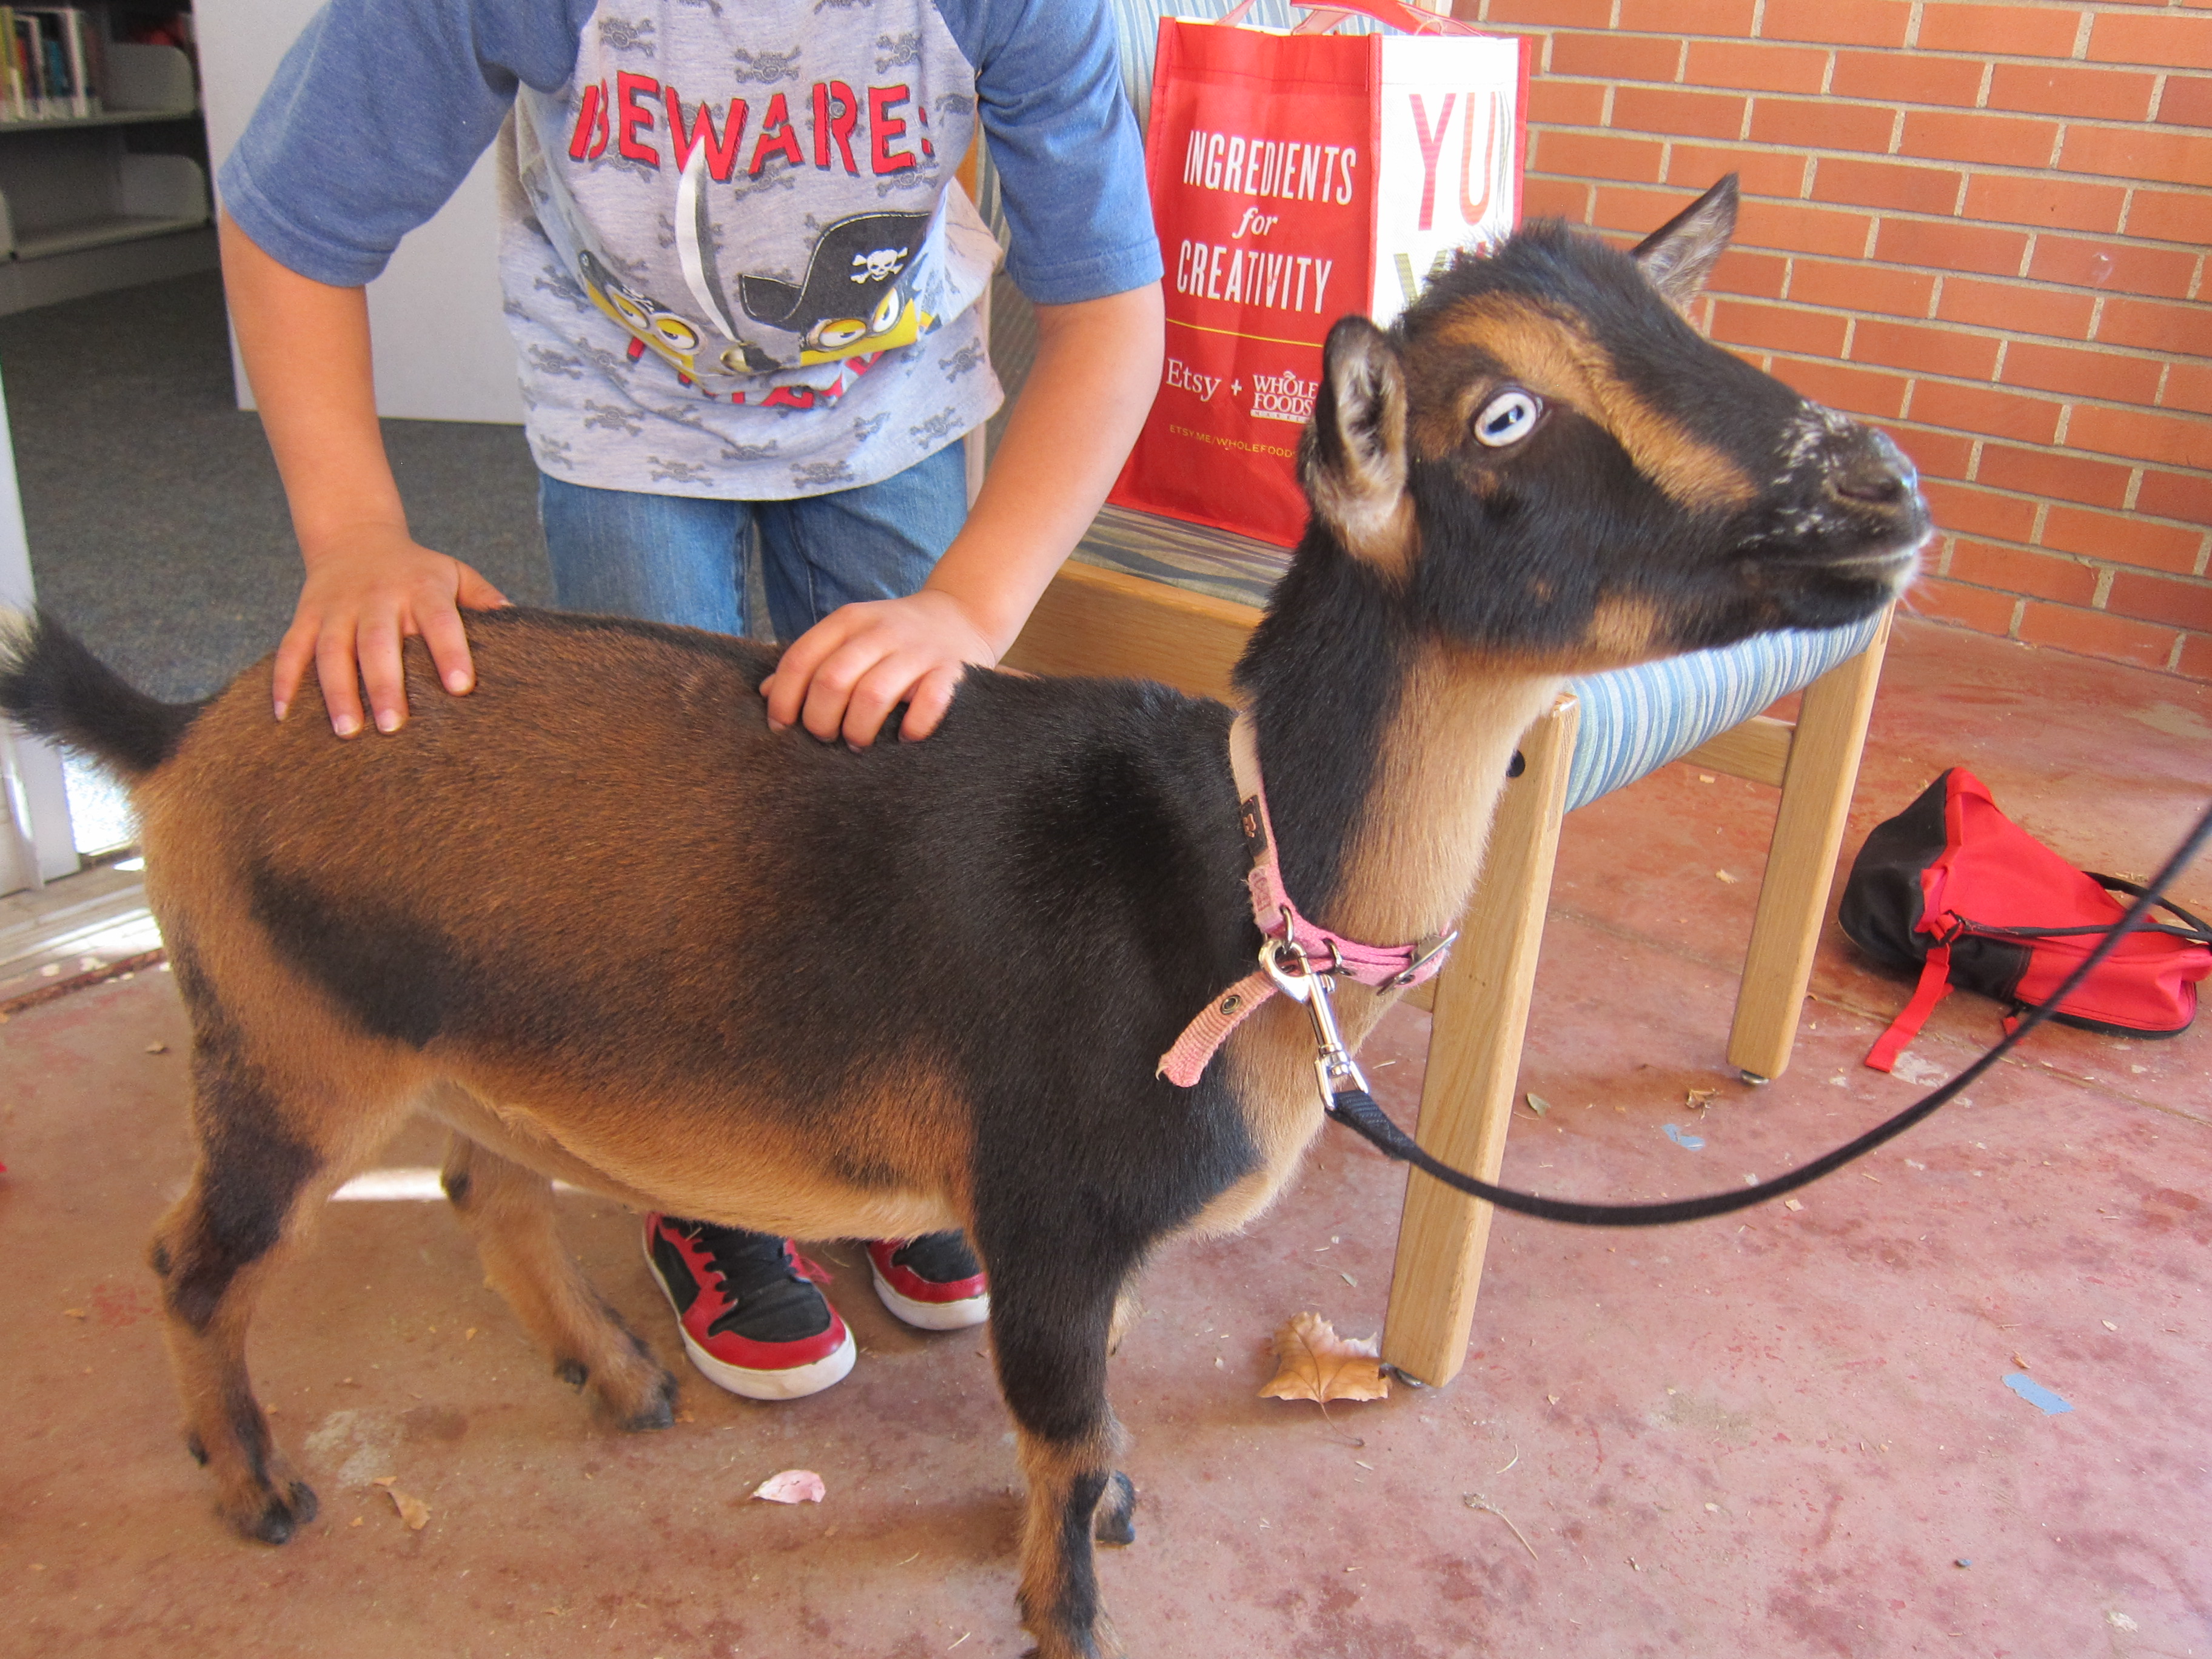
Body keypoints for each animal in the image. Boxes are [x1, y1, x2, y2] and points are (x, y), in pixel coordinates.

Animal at [0, 177, 1925, 1658]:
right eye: (1503, 417)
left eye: (1678, 328)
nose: (1878, 489)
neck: (1238, 876)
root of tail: (182, 733)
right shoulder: (1055, 1213)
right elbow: (1061, 1426)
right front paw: (1069, 1603)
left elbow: (1105, 1406)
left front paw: (1121, 1511)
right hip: (286, 1043)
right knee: (194, 1257)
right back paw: (259, 1485)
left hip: (470, 1041)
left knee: (489, 1187)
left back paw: (614, 1378)